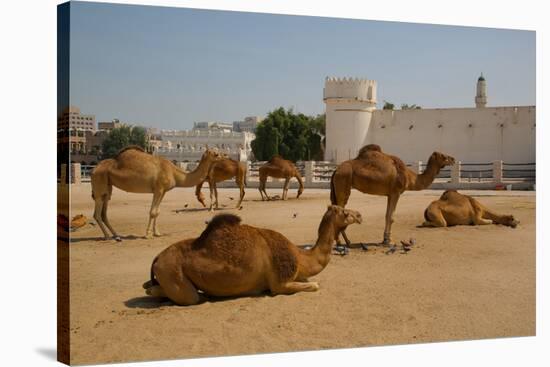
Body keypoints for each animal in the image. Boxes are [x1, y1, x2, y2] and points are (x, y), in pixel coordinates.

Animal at [91, 147, 225, 242]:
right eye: (216, 154)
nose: (225, 156)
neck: (174, 173)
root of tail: (94, 169)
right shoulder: (158, 189)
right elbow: (152, 212)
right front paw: (147, 235)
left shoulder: (163, 191)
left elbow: (157, 212)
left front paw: (157, 233)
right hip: (99, 183)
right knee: (97, 213)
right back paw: (107, 236)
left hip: (108, 187)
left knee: (104, 211)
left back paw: (116, 235)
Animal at [144, 206, 364, 306]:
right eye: (345, 213)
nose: (359, 215)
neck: (301, 257)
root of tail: (156, 258)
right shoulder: (280, 283)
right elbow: (315, 285)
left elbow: (309, 281)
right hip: (173, 273)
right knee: (188, 296)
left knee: (150, 287)